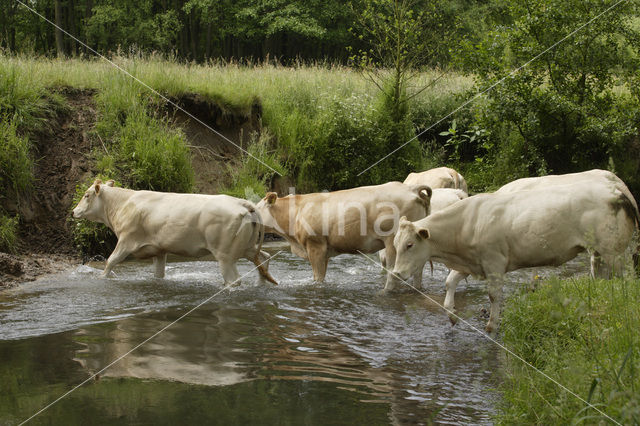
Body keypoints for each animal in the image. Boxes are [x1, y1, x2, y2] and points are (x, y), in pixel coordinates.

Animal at [72, 180, 278, 286]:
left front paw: (101, 279)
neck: (124, 203)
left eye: (86, 195)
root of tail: (242, 203)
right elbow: (158, 274)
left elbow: (110, 261)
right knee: (264, 258)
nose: (73, 211)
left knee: (234, 280)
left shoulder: (126, 240)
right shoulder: (158, 250)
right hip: (247, 248)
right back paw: (261, 284)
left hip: (225, 255)